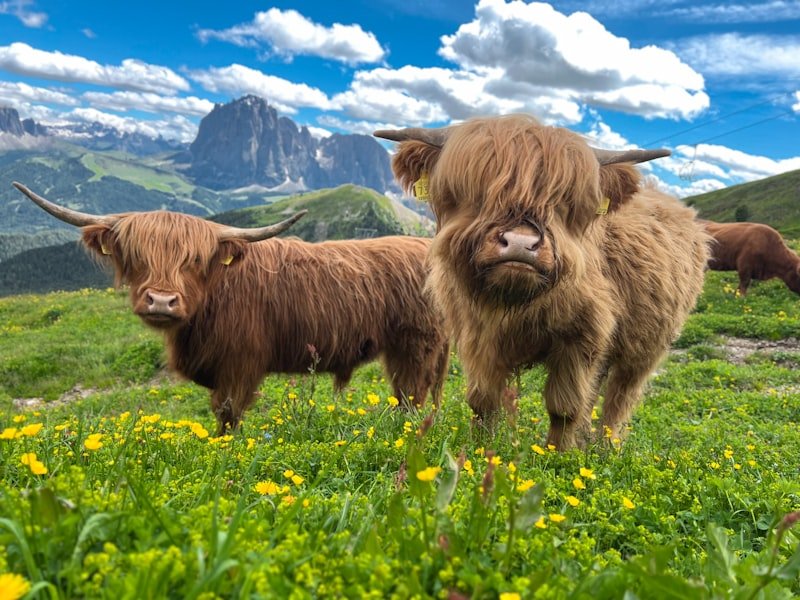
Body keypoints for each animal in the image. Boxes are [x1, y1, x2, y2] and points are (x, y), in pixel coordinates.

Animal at [12, 182, 450, 434]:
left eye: (193, 260)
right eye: (137, 256)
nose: (161, 301)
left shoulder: (240, 364)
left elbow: (227, 414)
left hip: (415, 346)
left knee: (411, 395)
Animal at [375, 115, 710, 450]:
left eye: (563, 202)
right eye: (478, 193)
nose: (521, 243)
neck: (516, 302)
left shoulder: (582, 337)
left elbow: (564, 406)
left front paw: (557, 453)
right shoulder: (477, 335)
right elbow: (483, 401)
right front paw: (481, 449)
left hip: (647, 346)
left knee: (620, 396)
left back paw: (605, 447)